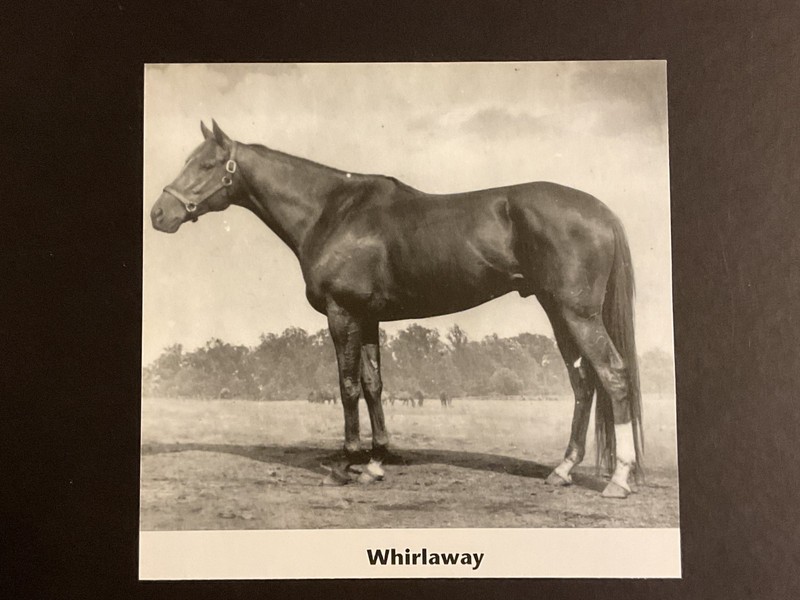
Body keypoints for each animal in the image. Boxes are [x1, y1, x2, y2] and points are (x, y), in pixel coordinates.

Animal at [150, 121, 644, 498]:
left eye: (207, 165)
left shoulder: (343, 314)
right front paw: (376, 461)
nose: (158, 214)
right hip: (557, 311)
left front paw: (346, 465)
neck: (331, 211)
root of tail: (602, 212)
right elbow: (374, 385)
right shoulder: (368, 318)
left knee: (614, 375)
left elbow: (348, 386)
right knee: (583, 384)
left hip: (577, 313)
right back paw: (562, 470)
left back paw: (618, 480)